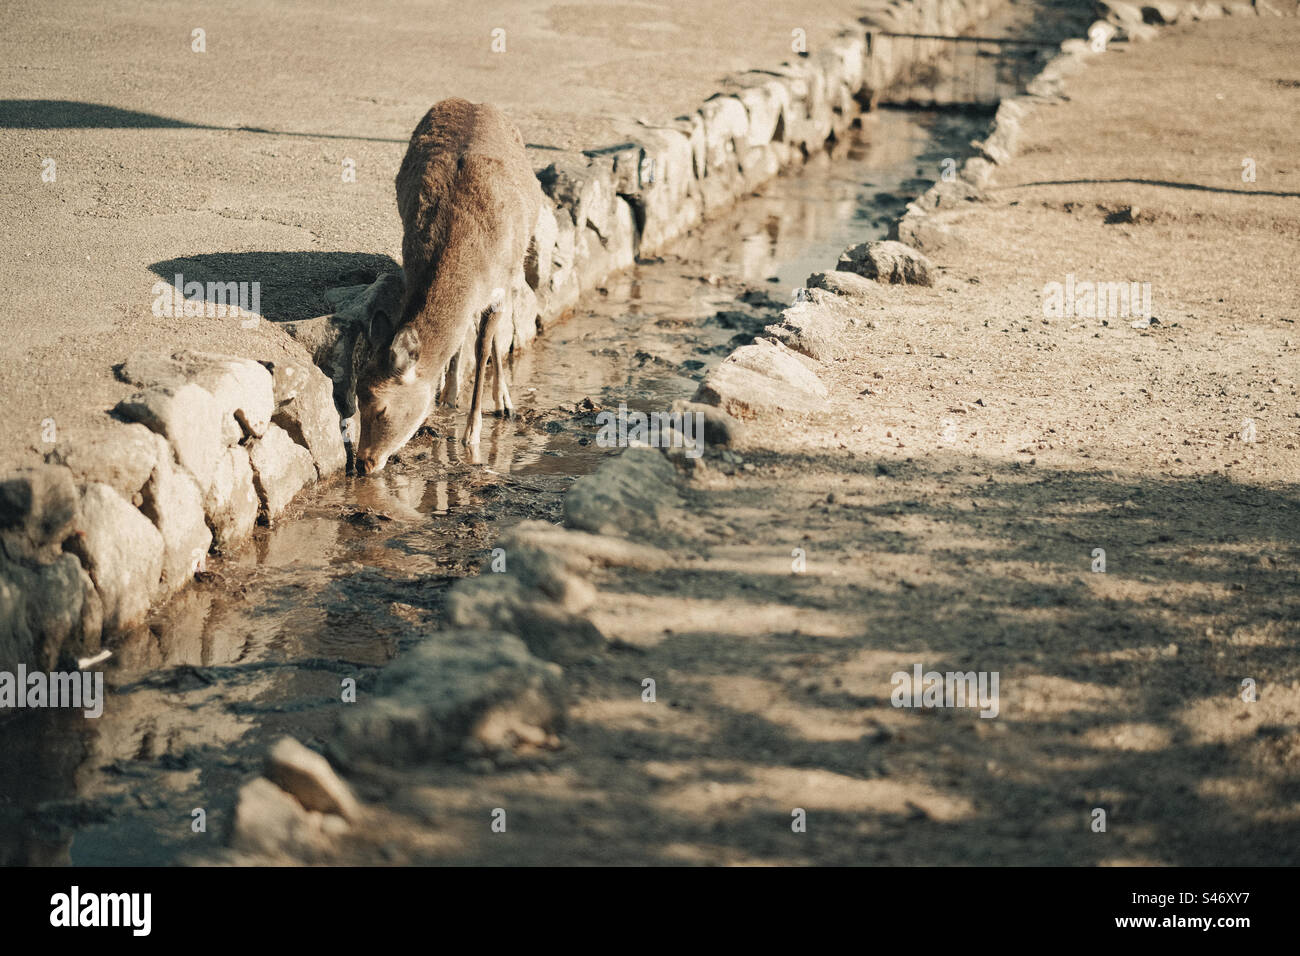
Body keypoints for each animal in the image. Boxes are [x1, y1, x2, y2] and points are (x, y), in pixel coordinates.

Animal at [354, 98, 542, 475]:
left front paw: (472, 433)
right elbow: (460, 339)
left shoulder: (499, 290)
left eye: (381, 408)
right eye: (357, 397)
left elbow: (483, 349)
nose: (363, 462)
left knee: (494, 336)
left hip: (516, 268)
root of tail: (475, 101)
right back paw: (451, 391)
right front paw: (446, 392)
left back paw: (504, 402)